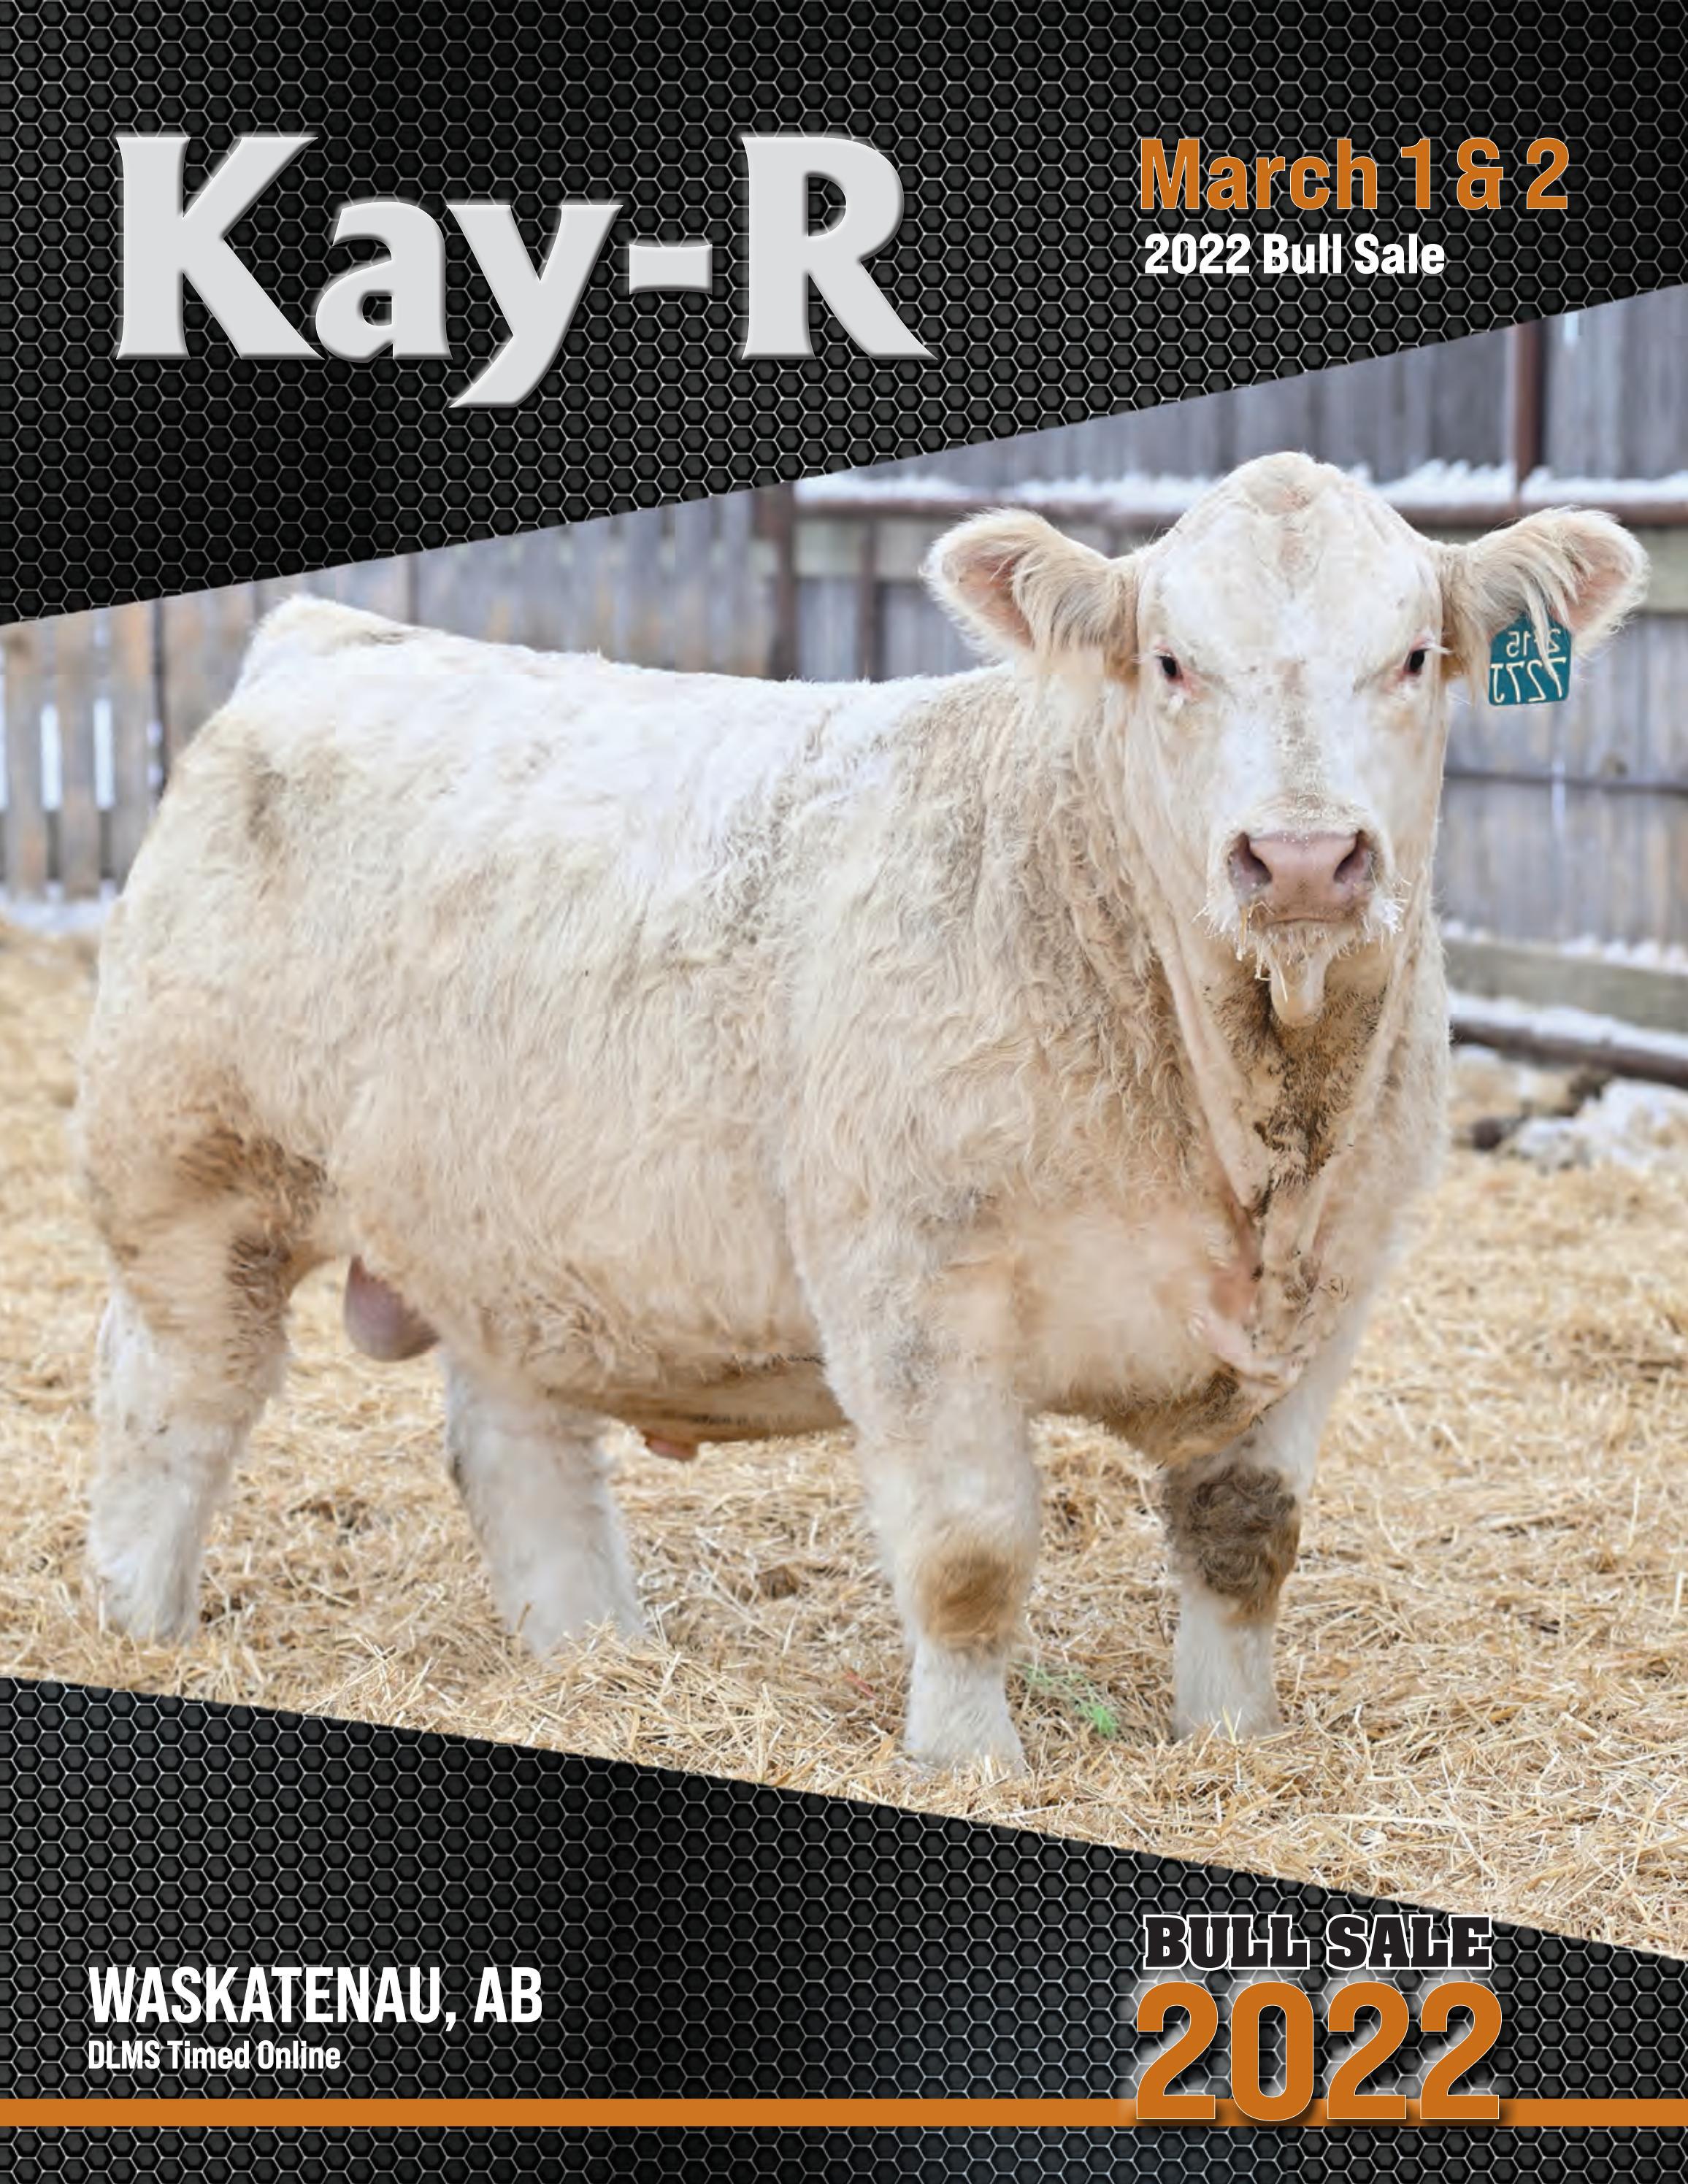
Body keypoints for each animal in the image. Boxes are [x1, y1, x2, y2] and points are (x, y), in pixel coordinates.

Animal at [74, 454, 1646, 1772]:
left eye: (1414, 654)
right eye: (1172, 661)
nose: (1306, 857)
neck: (1242, 1129)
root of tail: (330, 639)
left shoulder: (1334, 1292)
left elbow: (1244, 1537)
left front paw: (1232, 1739)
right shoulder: (913, 1289)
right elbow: (970, 1553)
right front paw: (971, 1762)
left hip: (507, 1228)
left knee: (519, 1448)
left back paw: (595, 1656)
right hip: (190, 1180)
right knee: (172, 1403)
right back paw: (138, 1622)